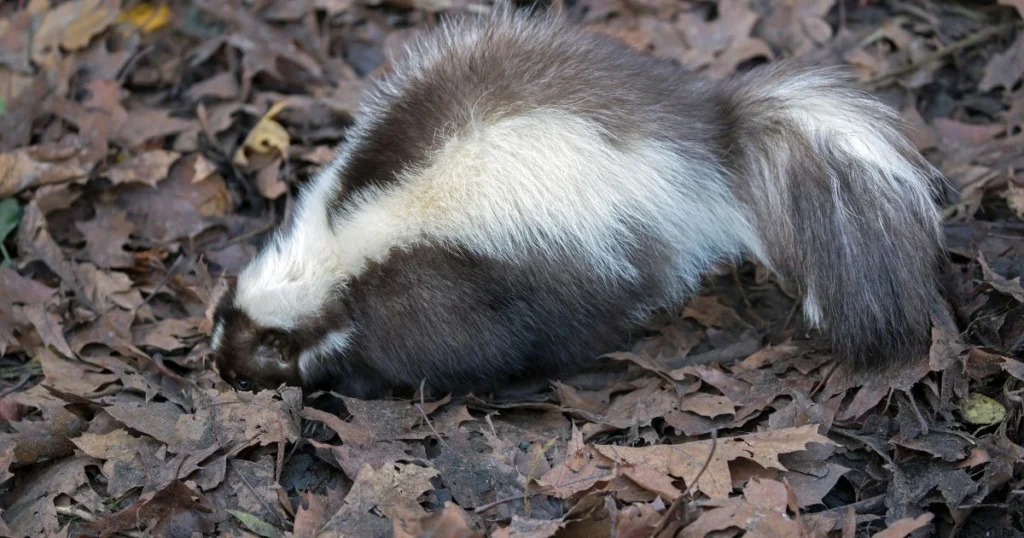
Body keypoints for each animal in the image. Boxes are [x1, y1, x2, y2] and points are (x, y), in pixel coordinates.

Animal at [207, 5, 942, 397]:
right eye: (221, 326)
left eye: (257, 353)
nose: (219, 370)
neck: (336, 246)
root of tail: (701, 136)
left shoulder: (433, 287)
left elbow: (447, 350)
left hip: (596, 249)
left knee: (590, 318)